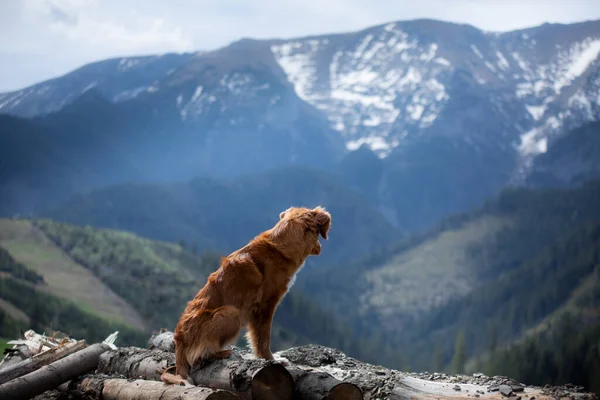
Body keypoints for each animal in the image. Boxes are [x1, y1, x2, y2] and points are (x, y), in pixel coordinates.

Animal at [162, 206, 330, 384]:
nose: (321, 247)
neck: (279, 249)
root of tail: (179, 341)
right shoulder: (265, 305)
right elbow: (263, 338)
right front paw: (271, 359)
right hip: (230, 313)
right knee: (197, 356)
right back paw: (222, 353)